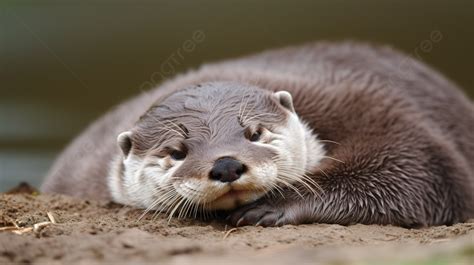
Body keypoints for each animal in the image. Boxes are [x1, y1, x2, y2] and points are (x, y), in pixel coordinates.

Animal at [40, 42, 474, 226]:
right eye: (177, 152)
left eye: (255, 133)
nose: (227, 166)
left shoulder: (366, 105)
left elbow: (415, 167)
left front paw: (274, 206)